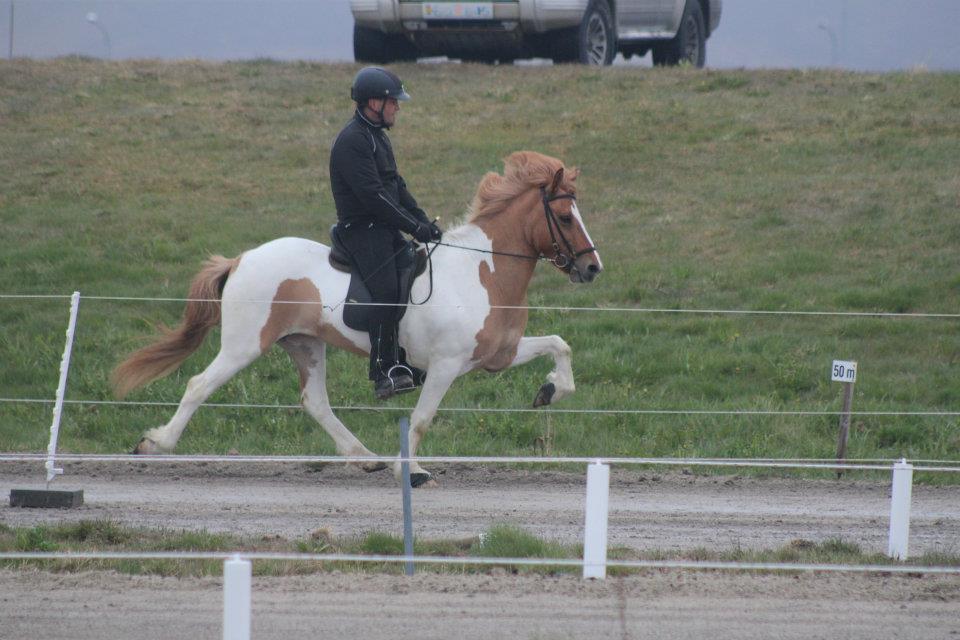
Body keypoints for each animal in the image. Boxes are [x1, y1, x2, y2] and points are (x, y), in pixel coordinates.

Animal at [112, 151, 603, 487]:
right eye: (564, 216)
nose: (592, 269)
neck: (483, 271)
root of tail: (241, 259)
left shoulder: (499, 354)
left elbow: (560, 344)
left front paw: (550, 391)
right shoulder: (445, 366)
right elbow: (422, 419)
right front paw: (413, 472)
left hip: (305, 344)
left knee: (314, 402)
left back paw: (364, 455)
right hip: (245, 344)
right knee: (200, 385)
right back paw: (155, 444)